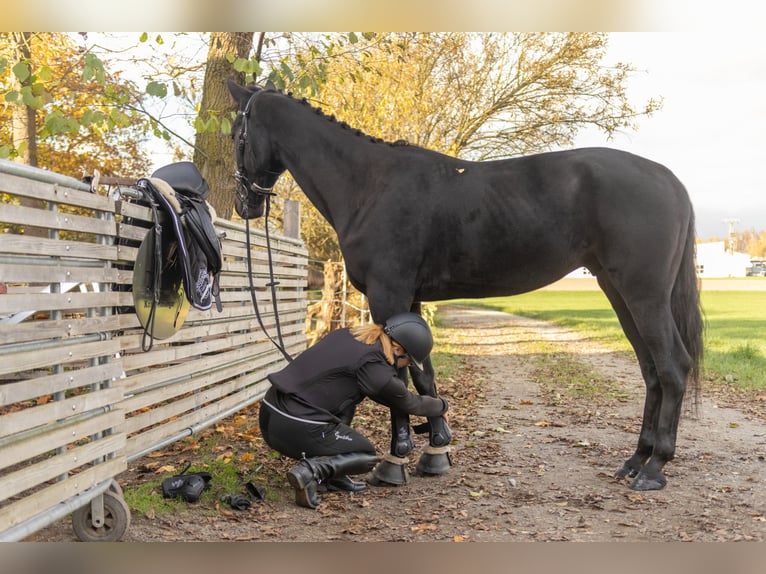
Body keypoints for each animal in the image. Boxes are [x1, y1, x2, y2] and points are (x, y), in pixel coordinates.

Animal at [226, 79, 704, 492]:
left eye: (236, 134)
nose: (244, 204)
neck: (369, 186)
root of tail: (668, 179)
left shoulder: (388, 294)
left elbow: (399, 376)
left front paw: (396, 460)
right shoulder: (410, 299)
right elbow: (423, 376)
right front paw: (436, 449)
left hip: (643, 294)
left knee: (672, 366)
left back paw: (655, 467)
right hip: (617, 290)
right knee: (650, 371)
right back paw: (635, 460)